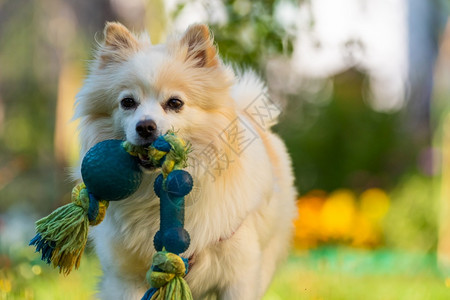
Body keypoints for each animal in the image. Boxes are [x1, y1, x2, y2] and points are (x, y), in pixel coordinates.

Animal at [74, 22, 298, 298]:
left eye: (175, 103)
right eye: (127, 103)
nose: (145, 126)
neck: (156, 194)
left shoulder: (238, 277)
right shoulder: (126, 278)